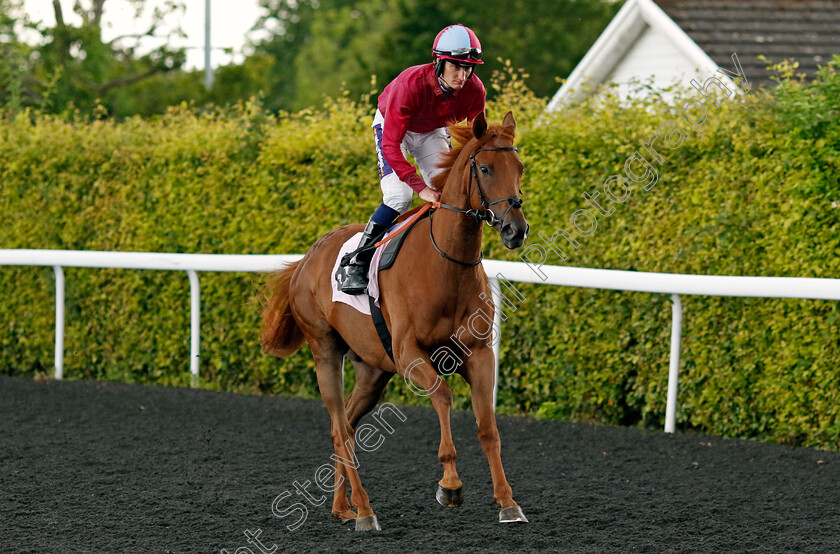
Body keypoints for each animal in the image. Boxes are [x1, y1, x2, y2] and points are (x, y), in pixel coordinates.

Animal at [260, 110, 528, 528]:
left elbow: (488, 428)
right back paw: (365, 511)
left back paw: (344, 508)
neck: (446, 265)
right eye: (485, 168)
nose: (516, 229)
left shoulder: (480, 353)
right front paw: (450, 484)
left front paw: (507, 501)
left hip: (372, 371)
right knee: (340, 427)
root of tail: (306, 259)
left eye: (519, 168)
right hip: (325, 351)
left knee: (345, 428)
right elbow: (443, 395)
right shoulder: (409, 355)